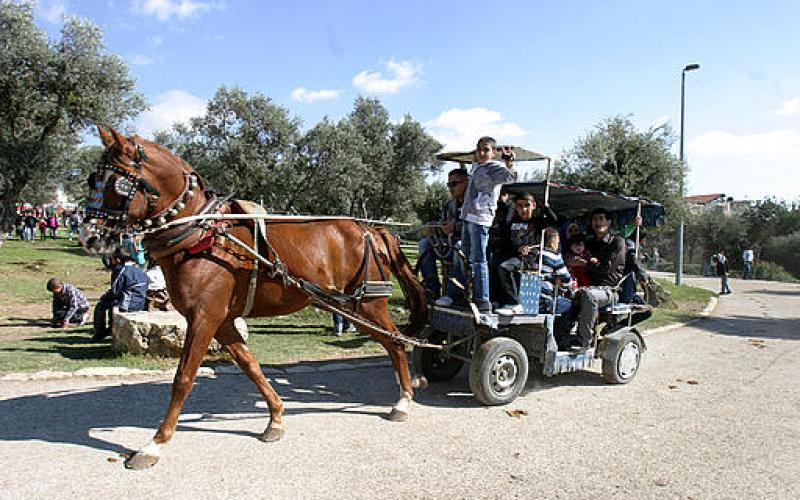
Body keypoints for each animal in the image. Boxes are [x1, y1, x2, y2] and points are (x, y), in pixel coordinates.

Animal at [90, 127, 428, 470]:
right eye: (94, 179)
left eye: (117, 184)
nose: (89, 234)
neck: (202, 235)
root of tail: (370, 229)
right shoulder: (222, 321)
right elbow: (250, 365)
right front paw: (275, 417)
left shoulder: (204, 318)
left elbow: (183, 377)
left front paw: (155, 443)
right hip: (349, 306)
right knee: (391, 342)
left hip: (367, 305)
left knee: (396, 342)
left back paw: (404, 399)